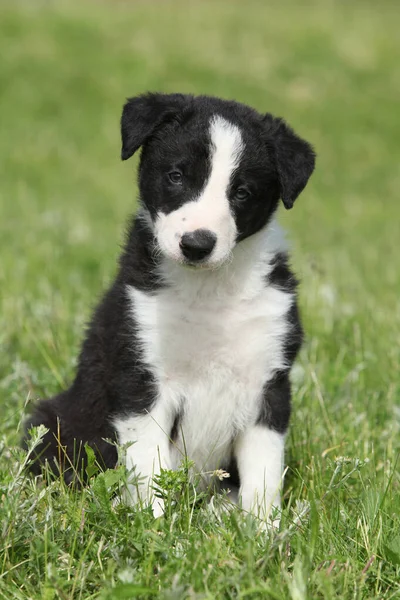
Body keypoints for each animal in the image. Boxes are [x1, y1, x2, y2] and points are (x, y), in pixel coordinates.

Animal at [24, 91, 316, 524]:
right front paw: (153, 526)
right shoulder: (141, 378)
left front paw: (263, 530)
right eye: (176, 176)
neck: (208, 290)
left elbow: (263, 474)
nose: (197, 244)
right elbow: (149, 464)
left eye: (242, 192)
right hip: (53, 421)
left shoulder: (269, 382)